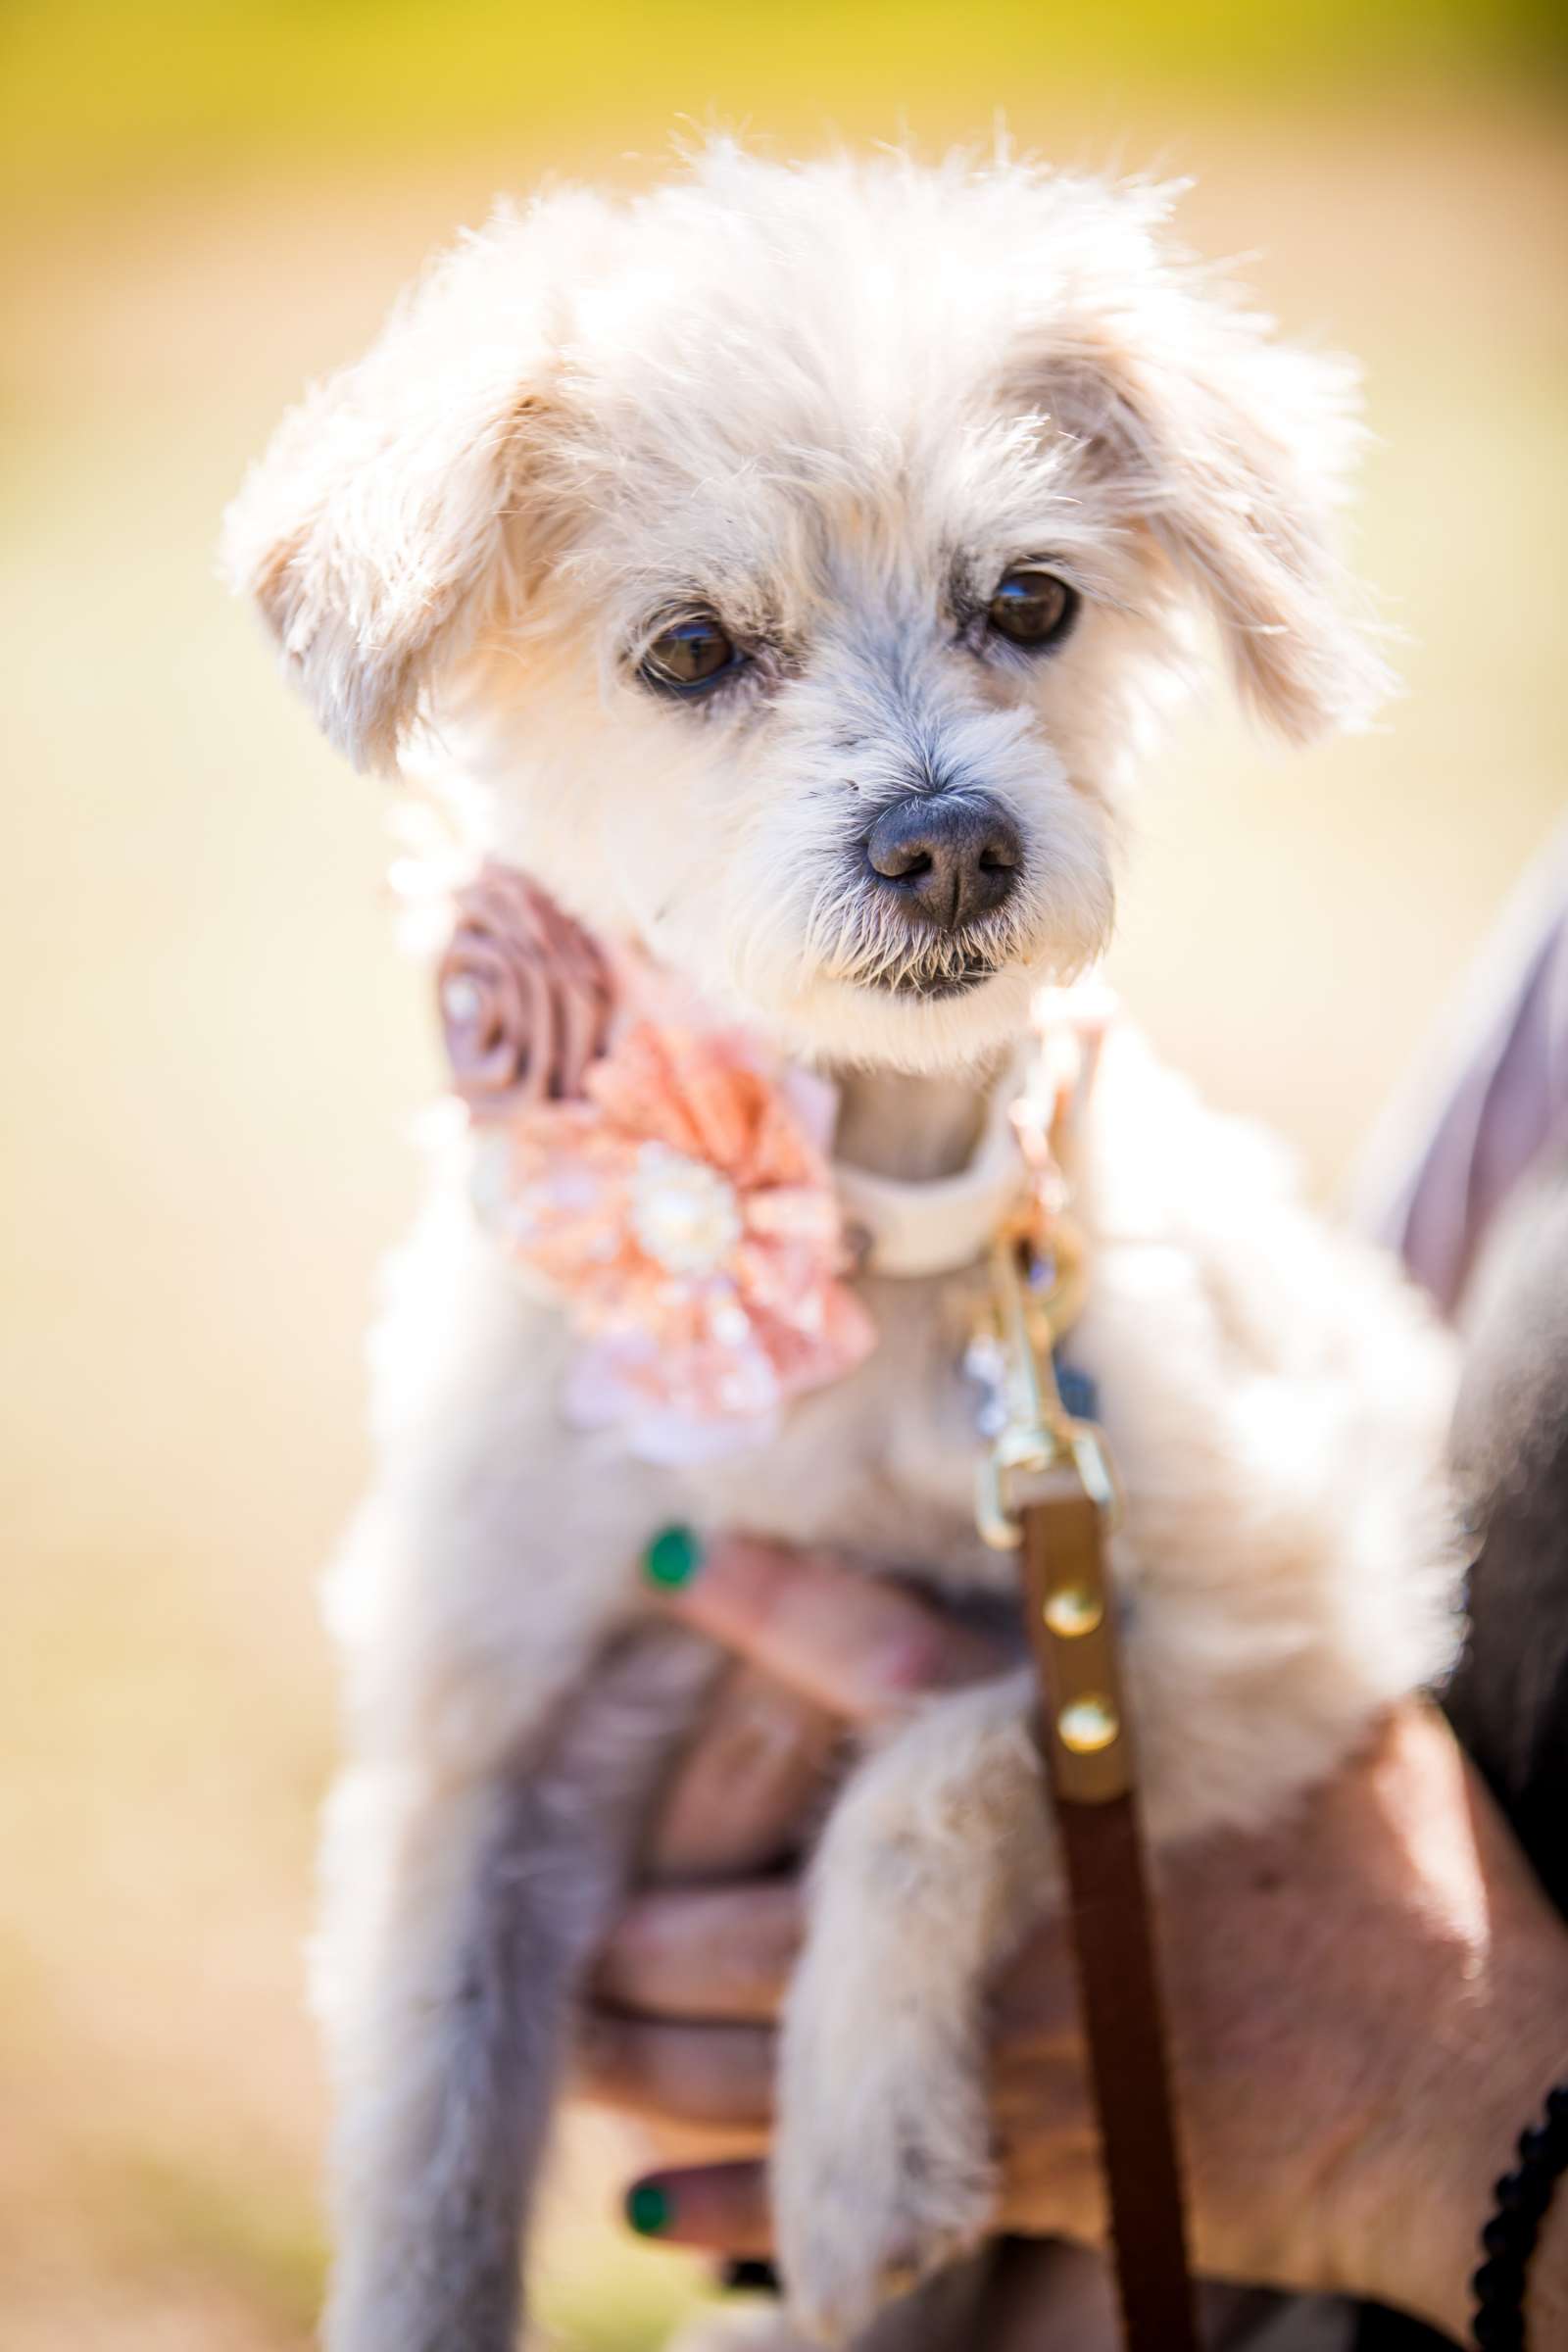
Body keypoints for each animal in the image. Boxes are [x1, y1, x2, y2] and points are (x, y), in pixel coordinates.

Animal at [220, 142, 1457, 2352]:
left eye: (1029, 602)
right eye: (691, 649)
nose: (949, 842)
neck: (863, 1257)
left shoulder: (1266, 1625)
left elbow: (943, 1765)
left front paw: (861, 2143)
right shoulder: (476, 1753)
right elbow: (427, 2163)